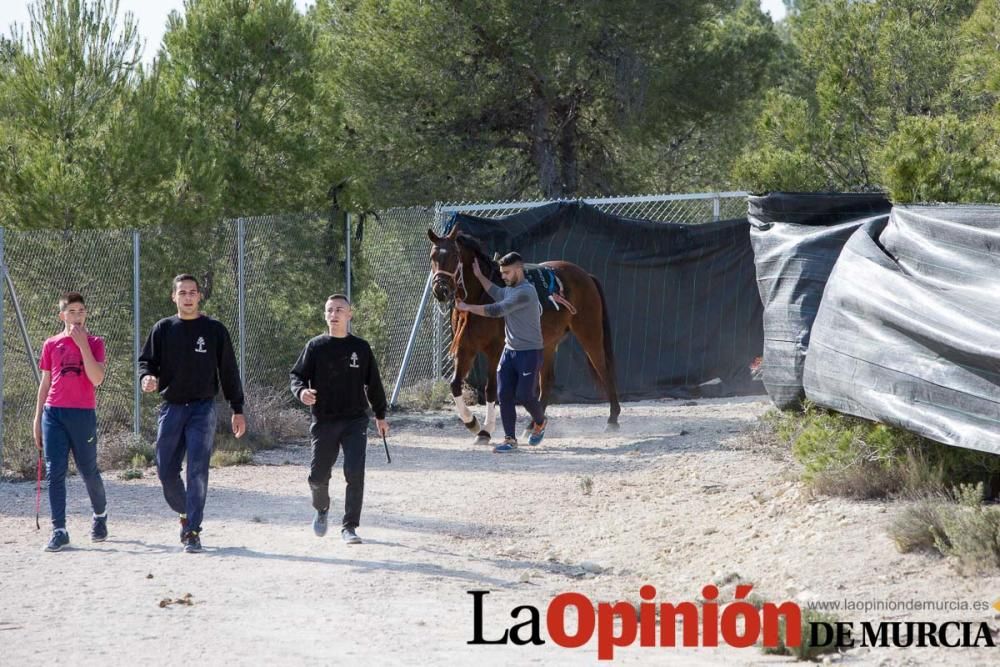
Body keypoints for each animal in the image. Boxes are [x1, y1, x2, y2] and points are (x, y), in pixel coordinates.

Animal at [428, 224, 620, 444]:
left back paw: (612, 420)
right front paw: (472, 423)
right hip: (548, 344)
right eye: (433, 256)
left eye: (454, 255)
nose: (440, 289)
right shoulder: (465, 348)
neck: (480, 297)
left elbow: (491, 389)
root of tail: (587, 276)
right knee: (547, 382)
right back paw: (531, 426)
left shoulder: (495, 350)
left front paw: (485, 431)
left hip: (590, 334)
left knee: (604, 371)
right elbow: (455, 385)